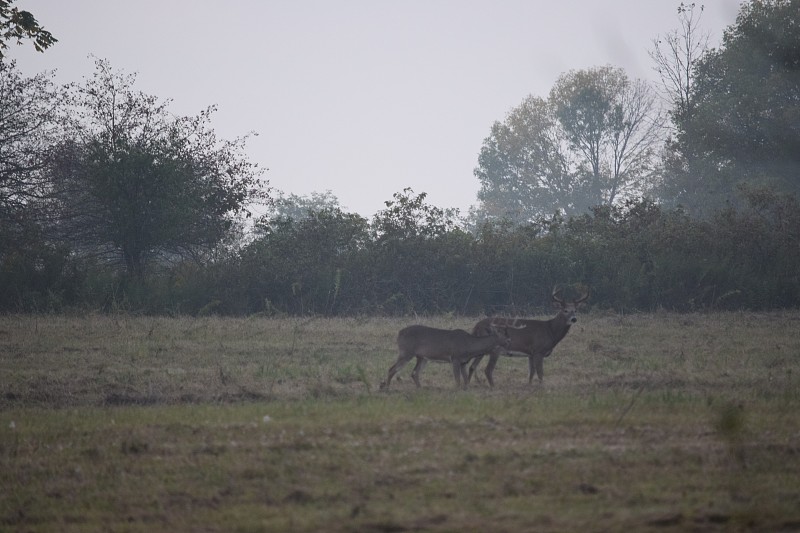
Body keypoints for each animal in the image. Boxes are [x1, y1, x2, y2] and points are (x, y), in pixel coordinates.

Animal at [378, 322, 510, 388]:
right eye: (503, 336)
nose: (509, 342)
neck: (469, 346)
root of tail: (399, 333)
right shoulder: (455, 357)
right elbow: (457, 380)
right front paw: (457, 390)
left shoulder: (463, 362)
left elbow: (465, 380)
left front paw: (466, 390)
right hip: (406, 351)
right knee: (392, 369)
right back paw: (387, 388)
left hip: (422, 357)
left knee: (414, 372)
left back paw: (421, 388)